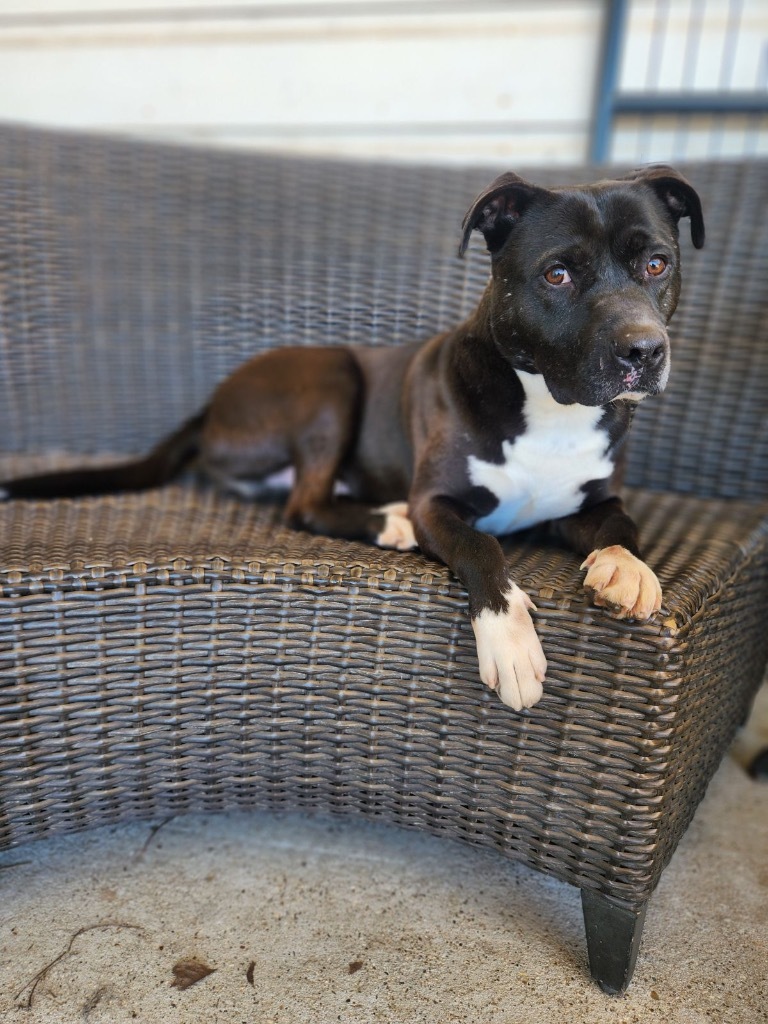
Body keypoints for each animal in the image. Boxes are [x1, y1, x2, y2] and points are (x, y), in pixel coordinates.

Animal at [3, 167, 708, 712]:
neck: (549, 409)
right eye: (557, 274)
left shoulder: (594, 500)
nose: (644, 351)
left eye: (656, 264)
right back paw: (386, 522)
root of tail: (211, 406)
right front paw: (510, 644)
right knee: (304, 505)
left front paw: (628, 568)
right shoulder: (436, 505)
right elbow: (482, 548)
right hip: (331, 380)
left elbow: (622, 523)